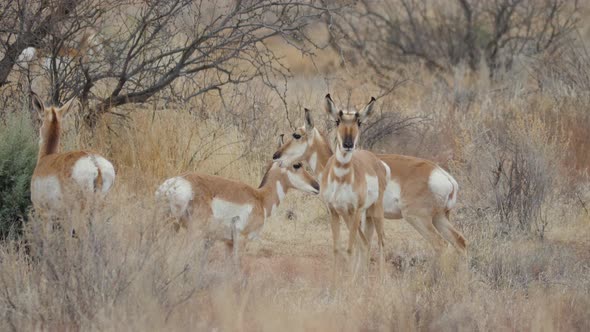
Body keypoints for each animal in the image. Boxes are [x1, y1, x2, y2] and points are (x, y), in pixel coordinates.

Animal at [154, 139, 320, 266]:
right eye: (297, 164)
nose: (317, 186)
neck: (260, 198)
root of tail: (173, 184)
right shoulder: (241, 240)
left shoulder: (228, 243)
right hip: (193, 232)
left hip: (169, 227)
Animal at [272, 102, 468, 255]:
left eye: (296, 135)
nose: (276, 156)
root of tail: (445, 177)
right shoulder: (369, 218)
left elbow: (360, 246)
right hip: (440, 219)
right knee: (460, 242)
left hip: (418, 219)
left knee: (440, 245)